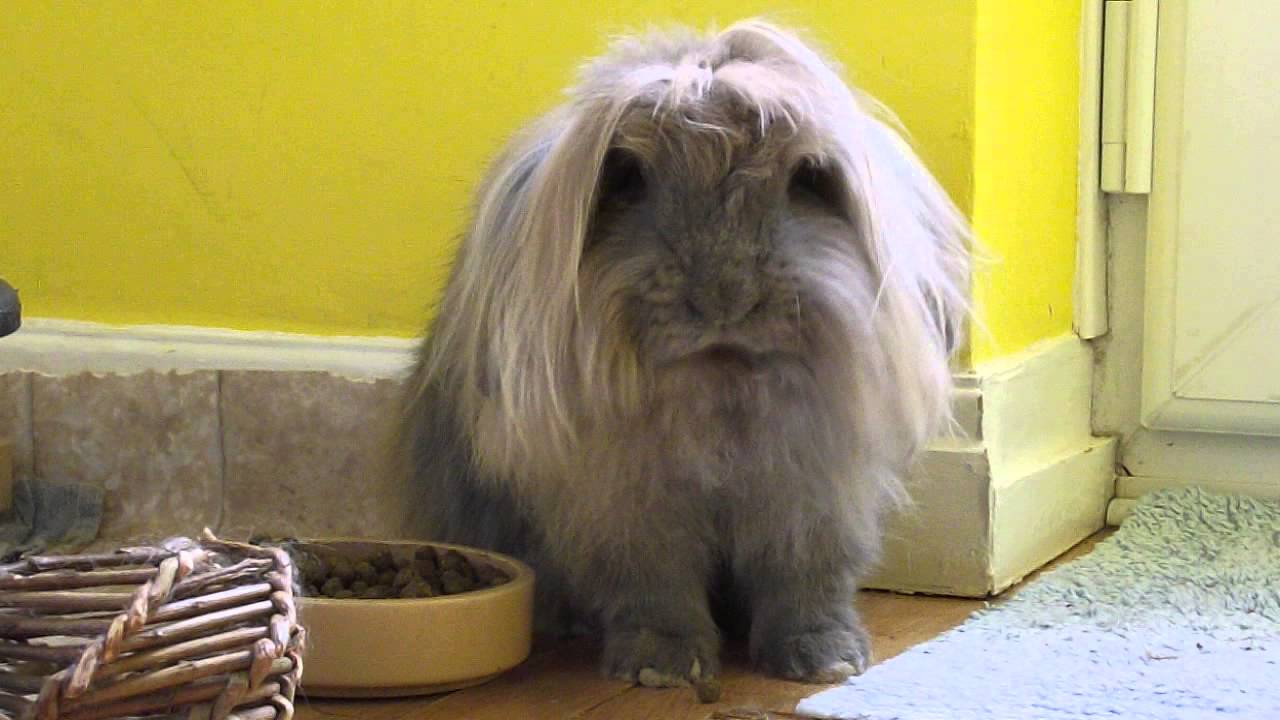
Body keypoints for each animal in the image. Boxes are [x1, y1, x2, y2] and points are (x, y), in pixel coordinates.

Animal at [395, 18, 972, 689]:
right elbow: (655, 584)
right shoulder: (626, 502)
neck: (718, 388)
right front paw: (662, 669)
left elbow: (807, 577)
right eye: (628, 177)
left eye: (806, 178)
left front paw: (825, 660)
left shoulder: (813, 498)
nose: (725, 296)